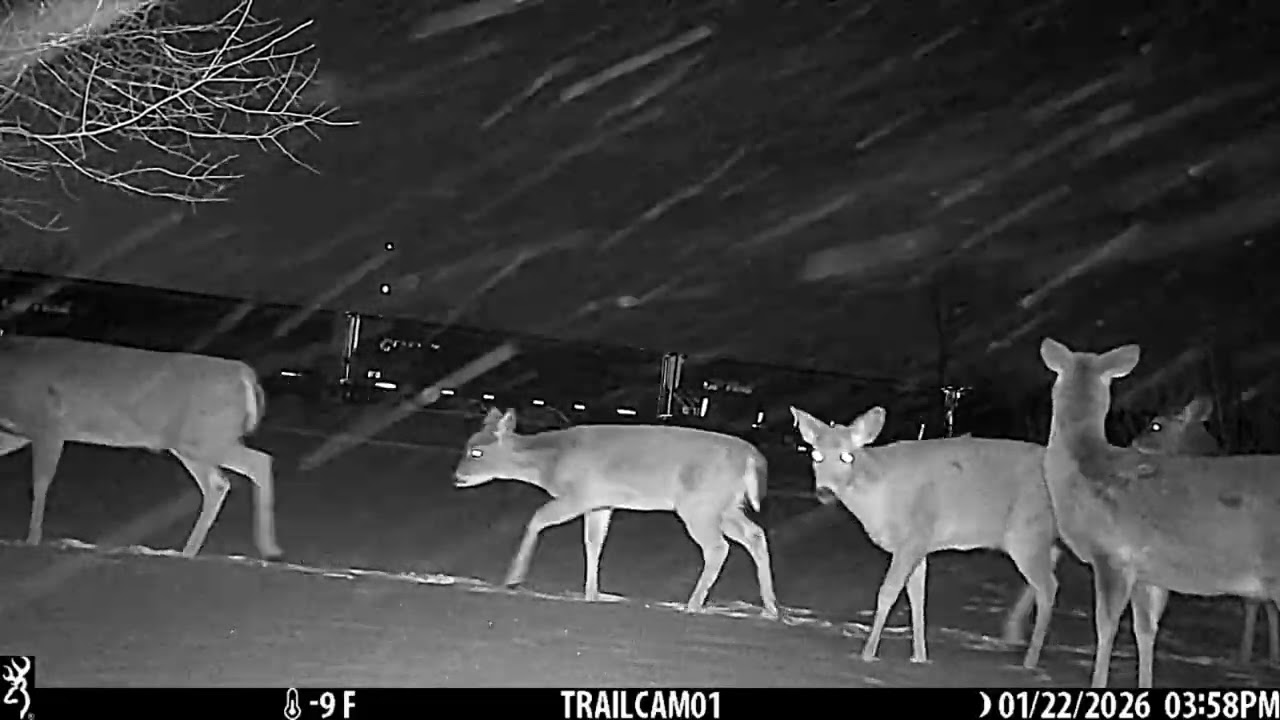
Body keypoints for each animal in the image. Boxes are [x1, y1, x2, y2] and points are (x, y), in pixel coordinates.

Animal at [0, 334, 282, 559]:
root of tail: (245, 375)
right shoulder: (19, 431)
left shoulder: (48, 427)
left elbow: (40, 483)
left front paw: (31, 539)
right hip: (194, 442)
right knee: (219, 483)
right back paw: (189, 551)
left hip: (203, 438)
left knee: (256, 462)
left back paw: (266, 548)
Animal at [453, 407, 779, 618]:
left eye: (476, 452)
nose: (456, 477)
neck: (551, 463)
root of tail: (752, 457)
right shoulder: (600, 502)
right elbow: (594, 543)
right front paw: (591, 595)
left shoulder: (579, 495)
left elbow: (538, 518)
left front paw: (512, 578)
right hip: (724, 505)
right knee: (755, 534)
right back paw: (770, 608)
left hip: (699, 504)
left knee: (717, 547)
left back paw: (693, 605)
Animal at [789, 405, 1058, 668]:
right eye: (816, 456)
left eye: (847, 456)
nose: (825, 492)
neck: (878, 496)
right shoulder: (920, 545)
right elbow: (917, 599)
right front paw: (919, 656)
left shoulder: (913, 536)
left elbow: (888, 592)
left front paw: (867, 653)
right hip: (1044, 538)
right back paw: (1016, 636)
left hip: (1027, 531)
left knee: (1049, 586)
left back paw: (1030, 660)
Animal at [1038, 337, 1280, 687]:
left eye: (1155, 425)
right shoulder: (1148, 571)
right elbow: (1145, 631)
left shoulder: (1113, 554)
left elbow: (1106, 627)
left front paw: (1097, 684)